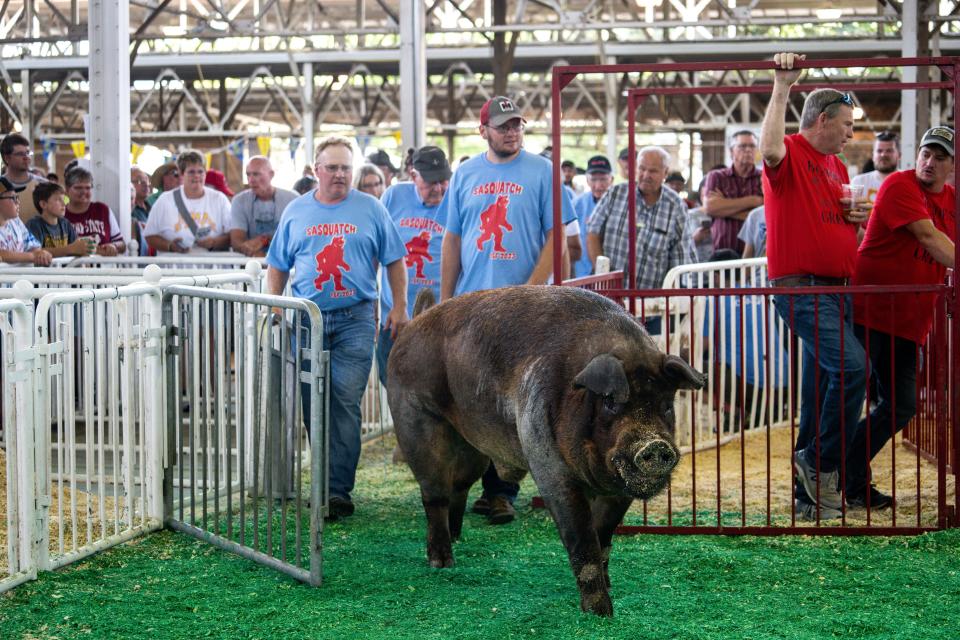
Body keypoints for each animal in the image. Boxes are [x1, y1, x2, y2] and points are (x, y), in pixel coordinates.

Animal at [384, 284, 704, 616]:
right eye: (611, 402)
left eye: (666, 405)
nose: (655, 444)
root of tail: (412, 324)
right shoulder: (550, 466)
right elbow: (582, 537)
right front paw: (601, 612)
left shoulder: (618, 491)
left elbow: (602, 535)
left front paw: (609, 587)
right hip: (416, 421)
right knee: (434, 494)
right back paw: (442, 563)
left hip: (472, 447)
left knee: (458, 487)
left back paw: (458, 539)